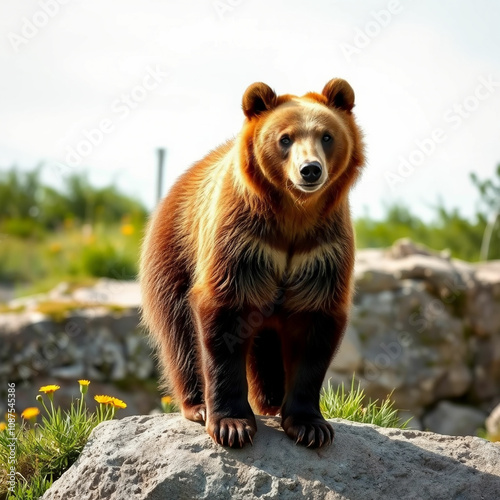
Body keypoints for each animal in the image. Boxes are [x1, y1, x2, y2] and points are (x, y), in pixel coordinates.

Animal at [139, 79, 366, 450]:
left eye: (326, 136)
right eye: (285, 138)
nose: (310, 170)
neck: (293, 217)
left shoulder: (321, 251)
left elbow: (314, 330)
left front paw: (311, 426)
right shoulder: (243, 242)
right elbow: (224, 318)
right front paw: (231, 424)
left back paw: (270, 399)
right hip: (175, 250)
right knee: (179, 331)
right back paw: (197, 404)